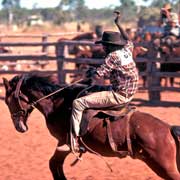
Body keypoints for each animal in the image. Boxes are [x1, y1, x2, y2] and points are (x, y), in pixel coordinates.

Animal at [2, 72, 180, 179]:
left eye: (8, 101)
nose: (19, 127)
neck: (57, 104)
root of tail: (168, 129)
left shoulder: (66, 143)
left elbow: (54, 164)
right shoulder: (64, 144)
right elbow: (55, 165)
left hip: (164, 166)